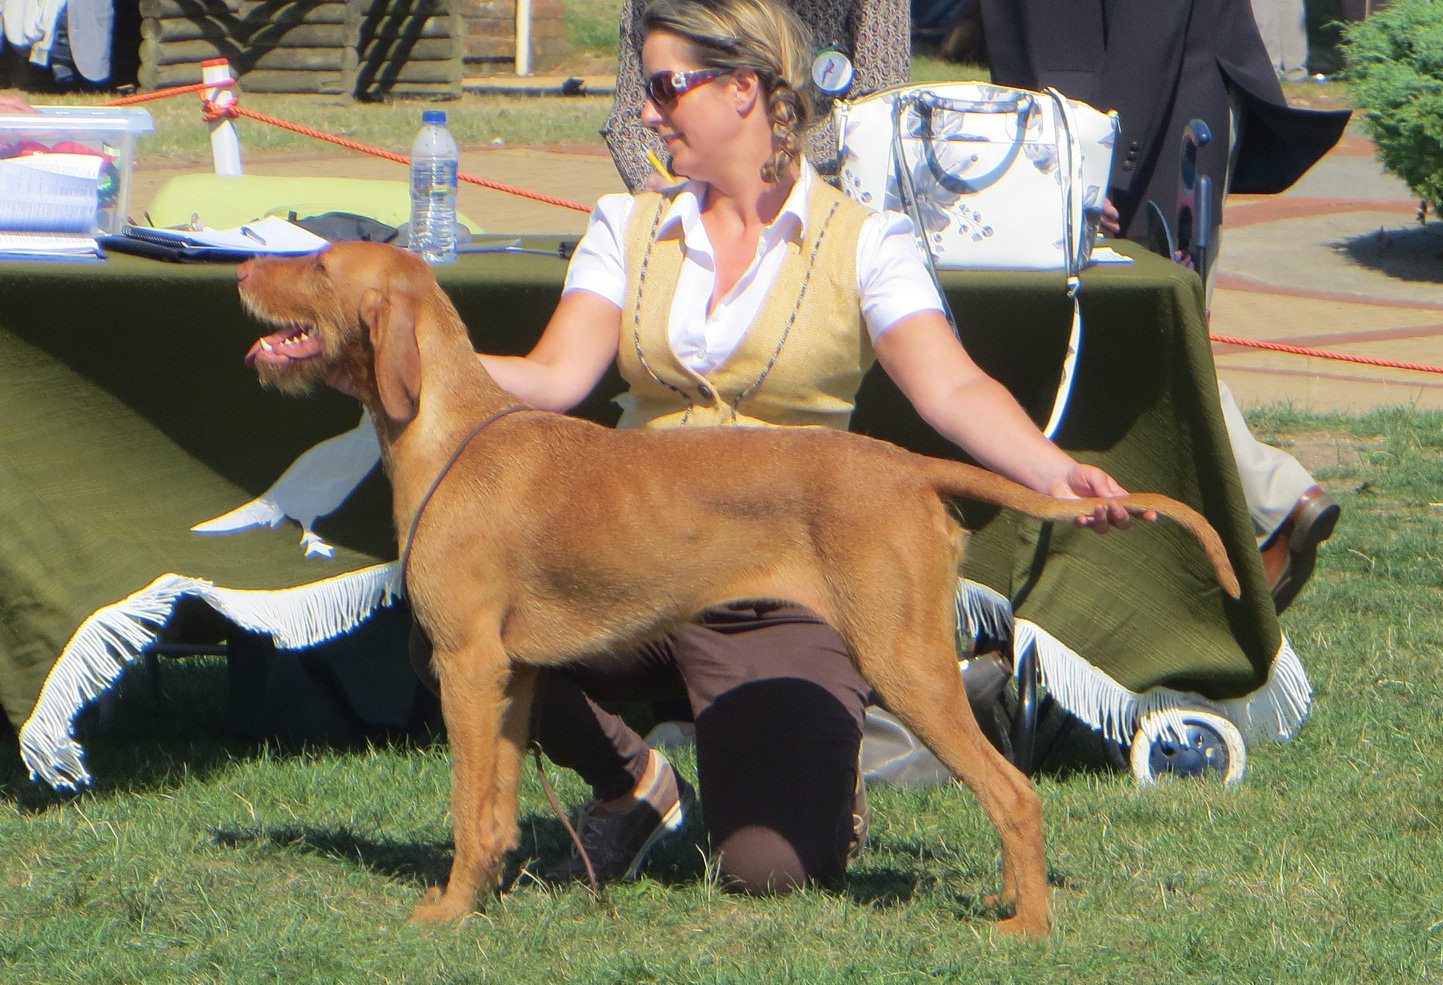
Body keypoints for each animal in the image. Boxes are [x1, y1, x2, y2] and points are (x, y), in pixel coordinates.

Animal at [237, 241, 1239, 939]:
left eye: (319, 263)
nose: (243, 264)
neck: (450, 433)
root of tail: (905, 465)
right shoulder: (509, 671)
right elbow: (491, 812)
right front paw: (484, 895)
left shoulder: (465, 659)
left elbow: (461, 804)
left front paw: (445, 914)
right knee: (1003, 794)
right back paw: (1003, 896)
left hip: (905, 660)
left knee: (1016, 792)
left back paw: (1025, 924)